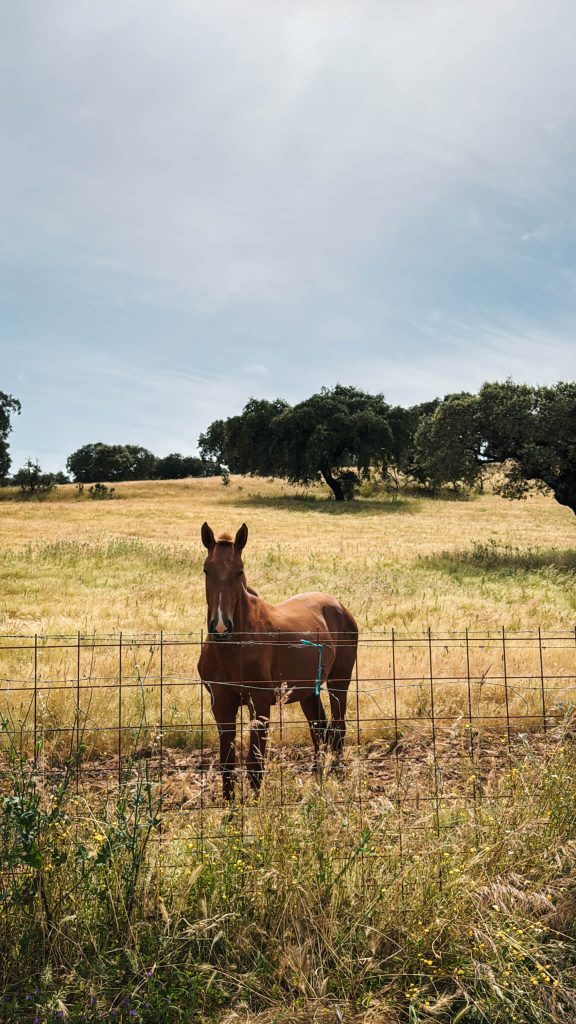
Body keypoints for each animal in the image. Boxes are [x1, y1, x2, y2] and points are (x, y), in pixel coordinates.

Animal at [197, 522, 358, 801]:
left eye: (239, 572)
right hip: (308, 692)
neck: (233, 648)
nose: (220, 626)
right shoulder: (221, 703)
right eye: (207, 570)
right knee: (319, 730)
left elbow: (254, 763)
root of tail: (338, 605)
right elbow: (227, 762)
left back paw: (337, 777)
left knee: (338, 730)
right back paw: (317, 780)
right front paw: (228, 807)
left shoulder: (259, 702)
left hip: (339, 684)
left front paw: (255, 805)